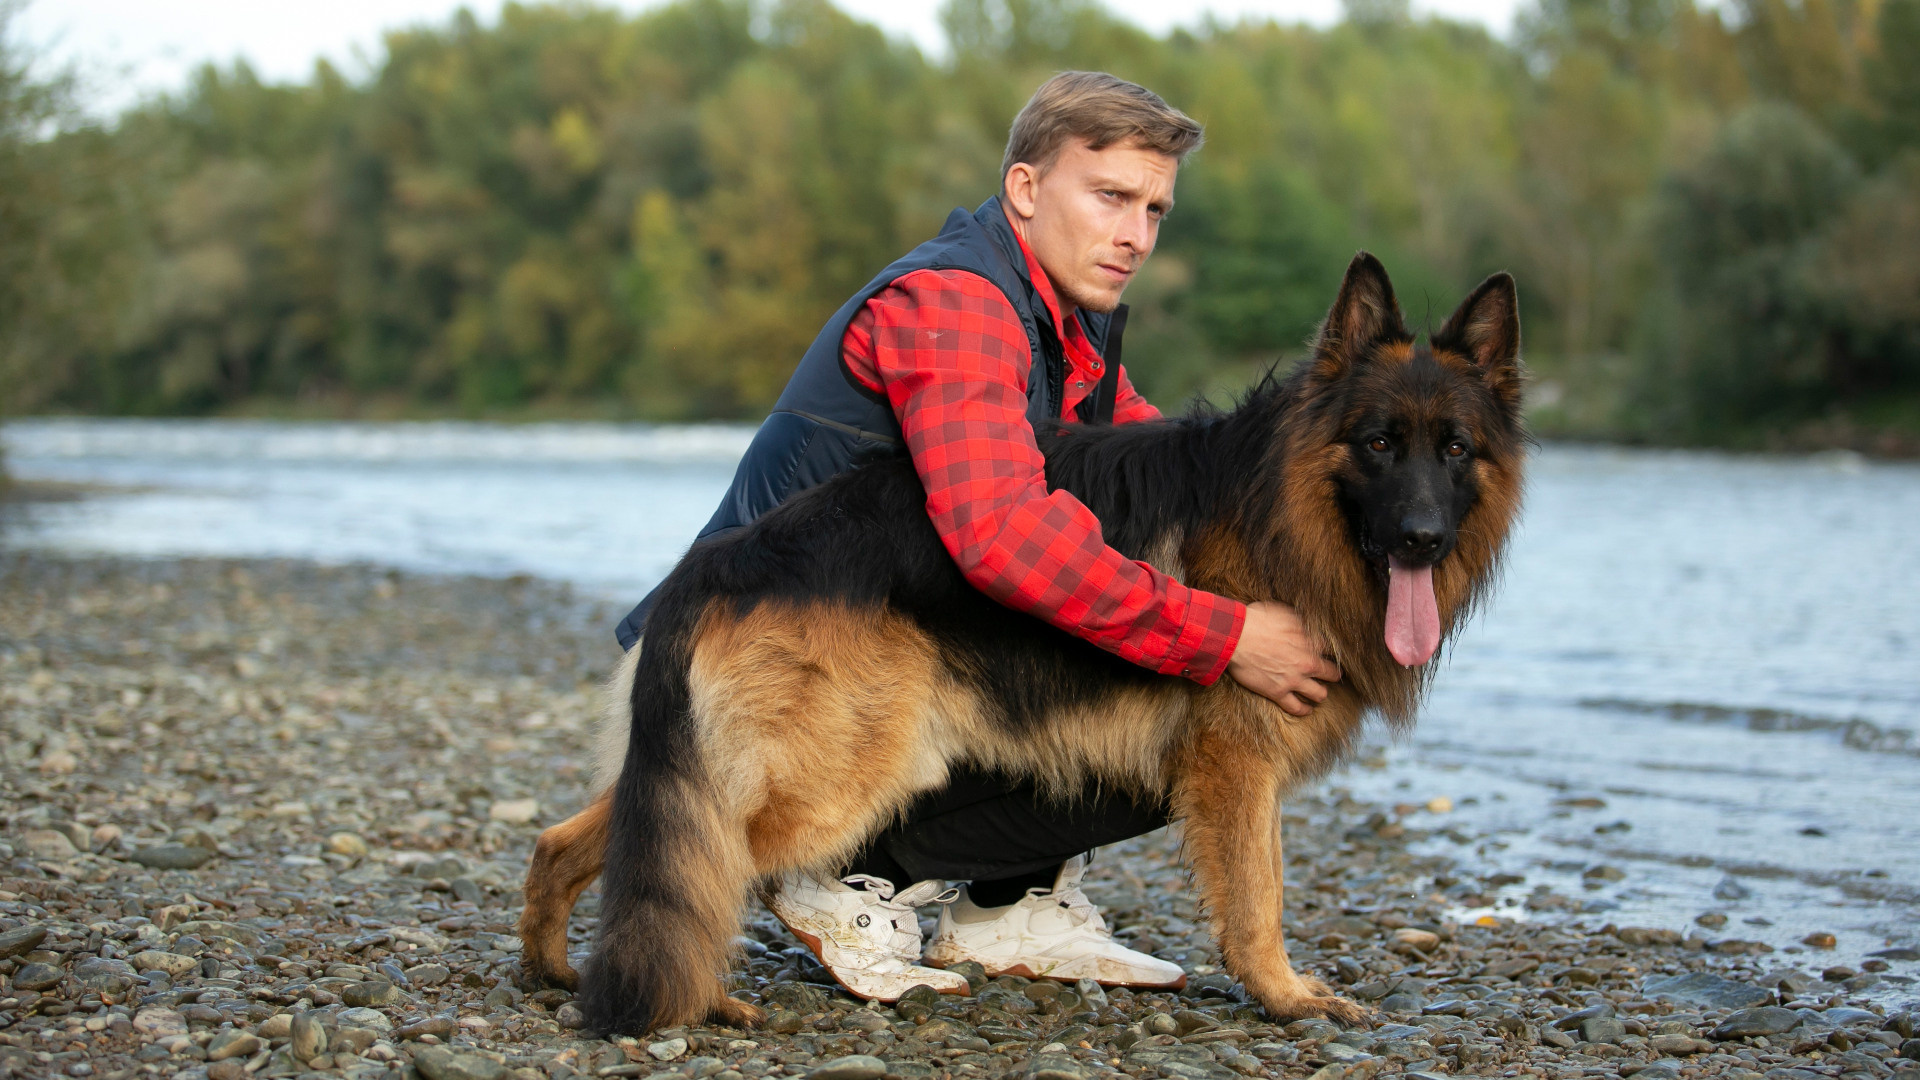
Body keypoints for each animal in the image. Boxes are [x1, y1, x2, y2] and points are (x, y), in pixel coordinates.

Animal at [514, 253, 1528, 1037]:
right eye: (1379, 443)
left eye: (1455, 449)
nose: (1422, 540)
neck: (1282, 509)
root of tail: (714, 563)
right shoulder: (1236, 763)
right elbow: (1259, 899)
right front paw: (1284, 996)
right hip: (849, 769)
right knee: (716, 862)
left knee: (589, 841)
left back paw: (555, 969)